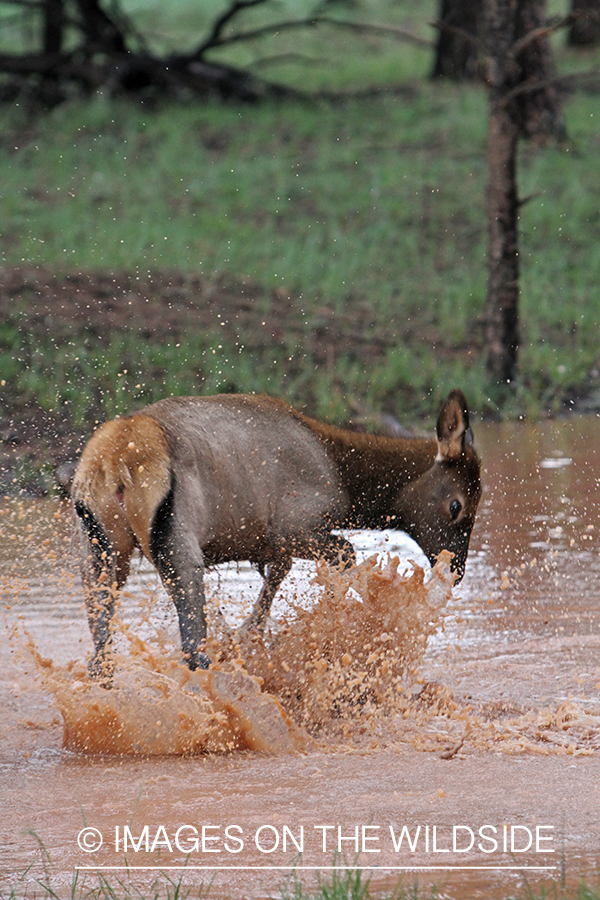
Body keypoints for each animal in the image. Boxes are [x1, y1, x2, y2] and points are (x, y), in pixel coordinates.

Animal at [71, 390, 482, 680]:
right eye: (457, 505)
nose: (457, 569)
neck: (346, 481)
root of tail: (115, 463)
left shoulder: (272, 546)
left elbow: (270, 592)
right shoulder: (294, 527)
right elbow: (345, 557)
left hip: (100, 553)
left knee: (100, 650)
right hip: (178, 549)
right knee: (192, 647)